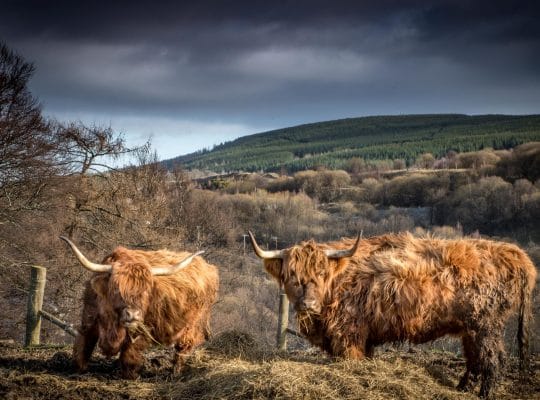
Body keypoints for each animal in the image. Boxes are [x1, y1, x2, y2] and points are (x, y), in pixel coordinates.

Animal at [60, 238, 218, 378]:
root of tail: (209, 267)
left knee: (182, 349)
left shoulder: (144, 329)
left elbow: (129, 354)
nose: (133, 315)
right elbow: (82, 347)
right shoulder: (89, 319)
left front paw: (129, 376)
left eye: (146, 291)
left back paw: (175, 373)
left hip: (192, 326)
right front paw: (78, 371)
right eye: (116, 289)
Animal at [249, 230, 536, 398]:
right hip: (471, 328)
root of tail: (515, 254)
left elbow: (352, 359)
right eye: (293, 277)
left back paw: (483, 394)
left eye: (321, 274)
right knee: (474, 358)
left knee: (494, 359)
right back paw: (462, 388)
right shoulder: (363, 335)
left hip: (486, 325)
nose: (308, 304)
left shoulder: (348, 333)